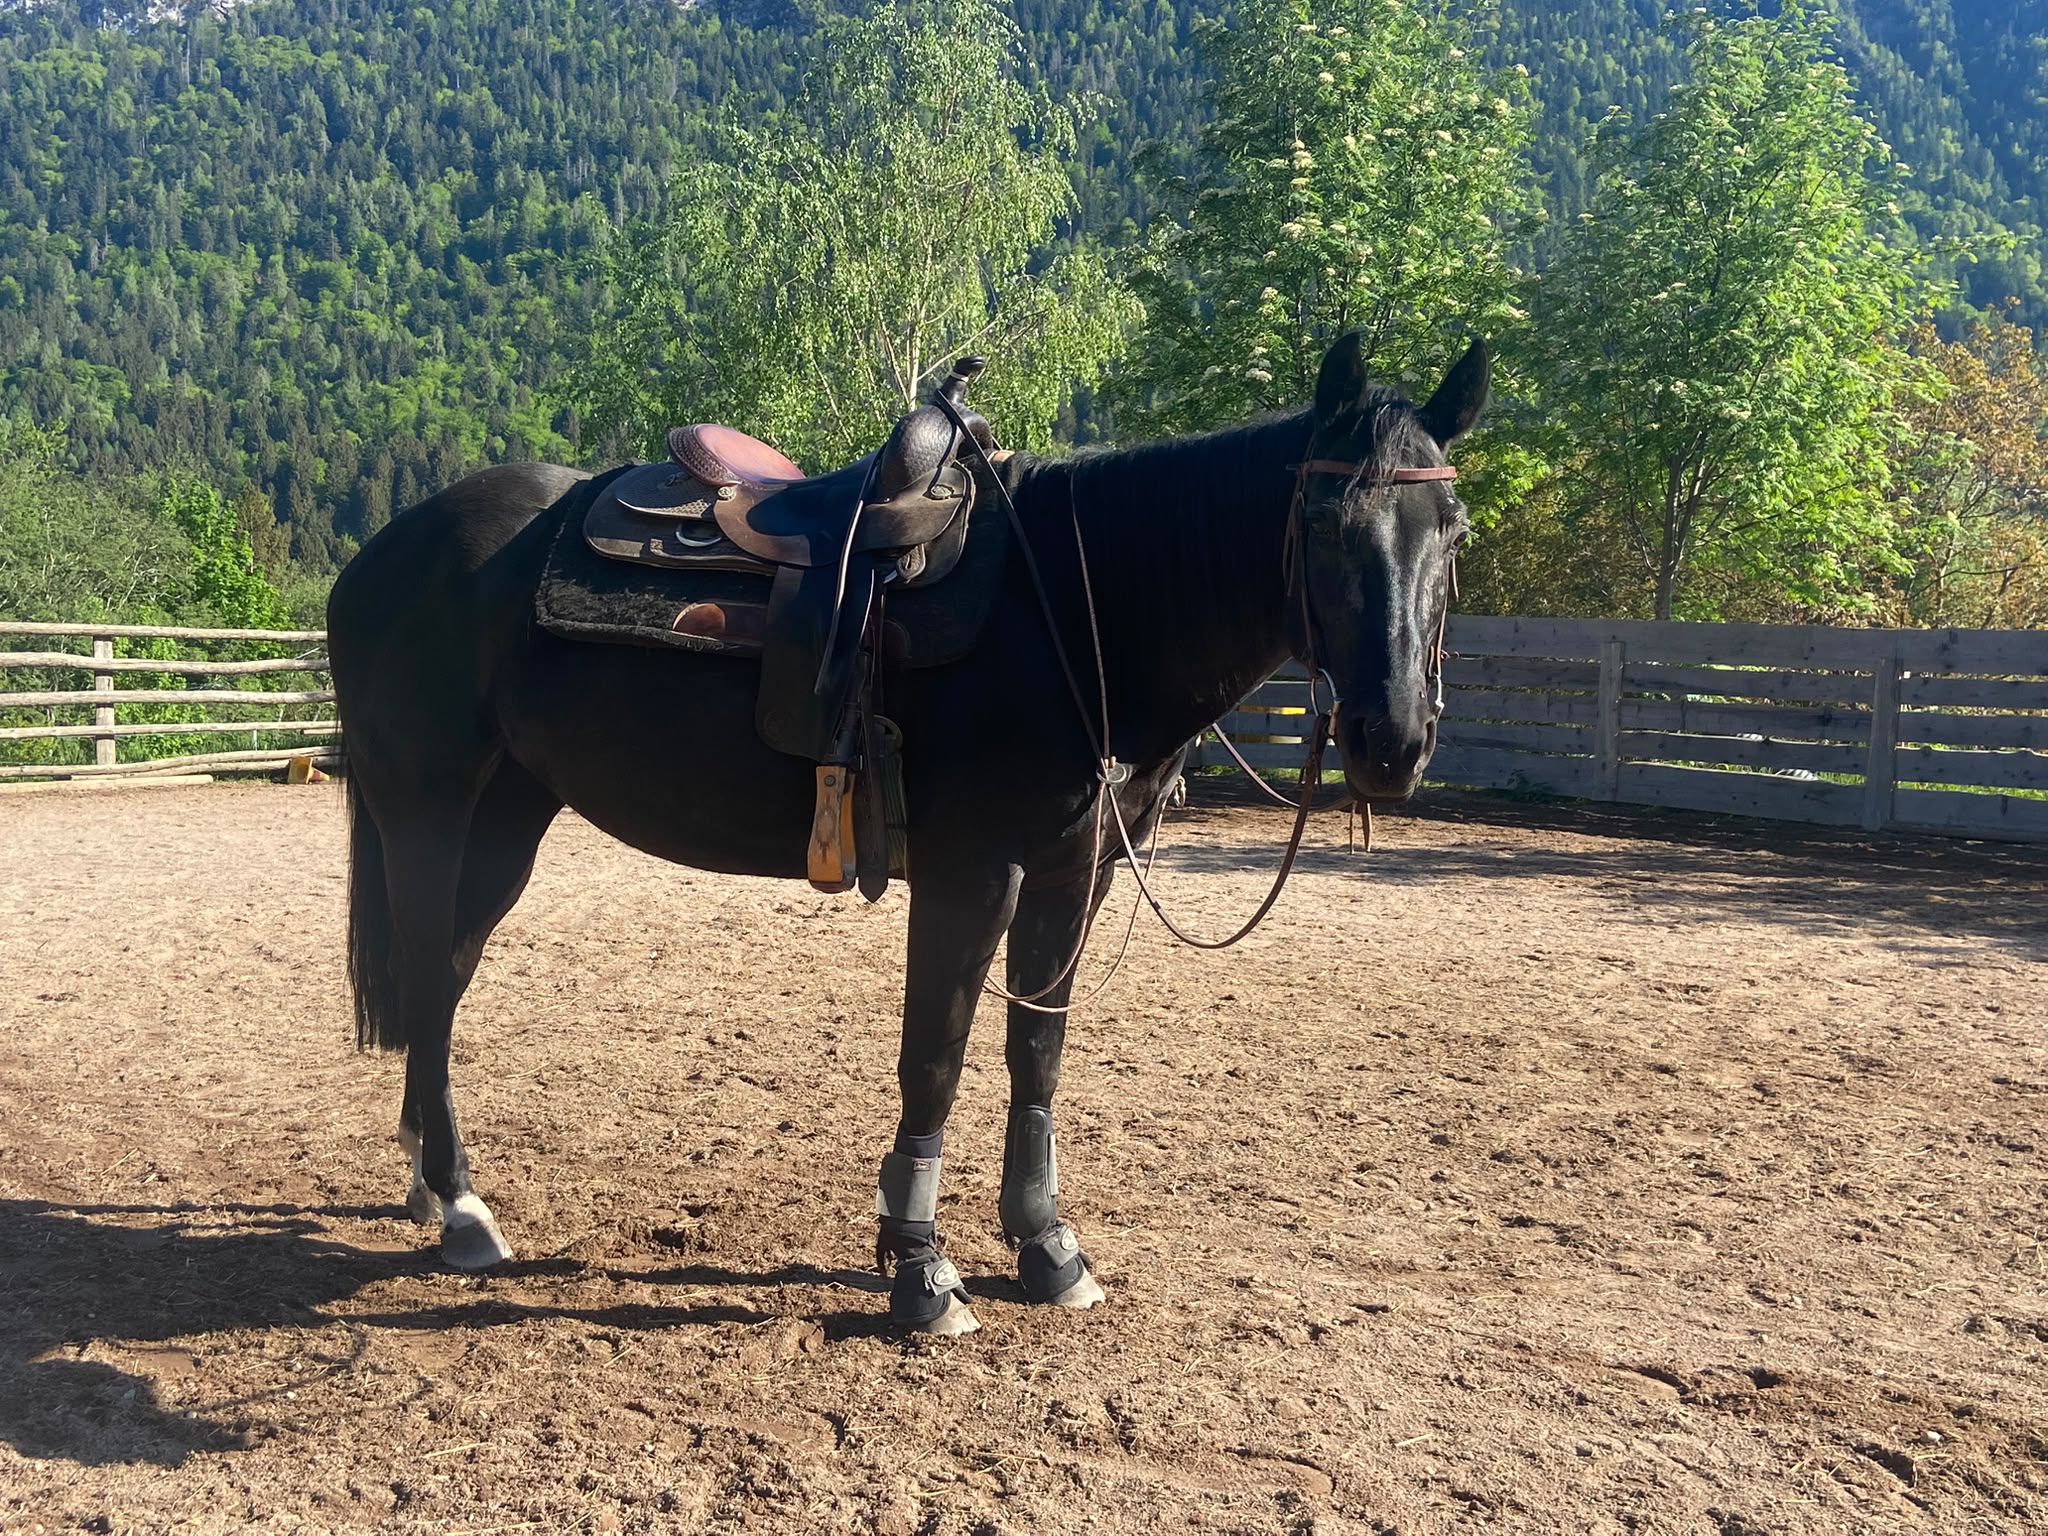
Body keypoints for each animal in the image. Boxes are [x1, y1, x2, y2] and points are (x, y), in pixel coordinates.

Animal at [326, 330, 1488, 1335]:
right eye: (1325, 523)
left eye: (1453, 530)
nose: (1392, 741)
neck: (1072, 610)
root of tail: (381, 554)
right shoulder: (973, 871)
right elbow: (935, 1054)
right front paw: (921, 1269)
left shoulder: (1075, 875)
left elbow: (1036, 1056)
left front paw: (1046, 1247)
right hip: (425, 807)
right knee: (427, 973)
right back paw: (460, 1208)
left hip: (509, 814)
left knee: (446, 977)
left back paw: (428, 1186)